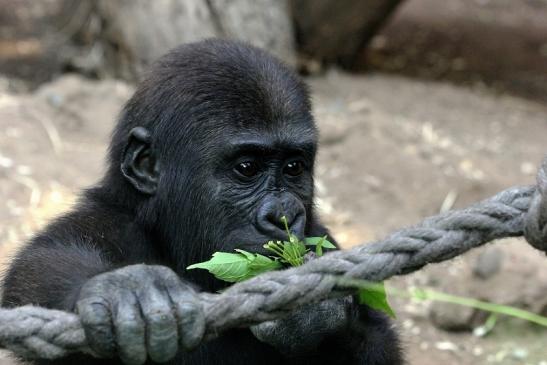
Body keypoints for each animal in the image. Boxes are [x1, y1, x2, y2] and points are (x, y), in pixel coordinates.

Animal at [0, 39, 402, 364]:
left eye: (293, 168)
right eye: (246, 168)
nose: (284, 215)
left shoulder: (324, 238)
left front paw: (317, 317)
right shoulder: (101, 223)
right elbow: (44, 267)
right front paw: (126, 290)